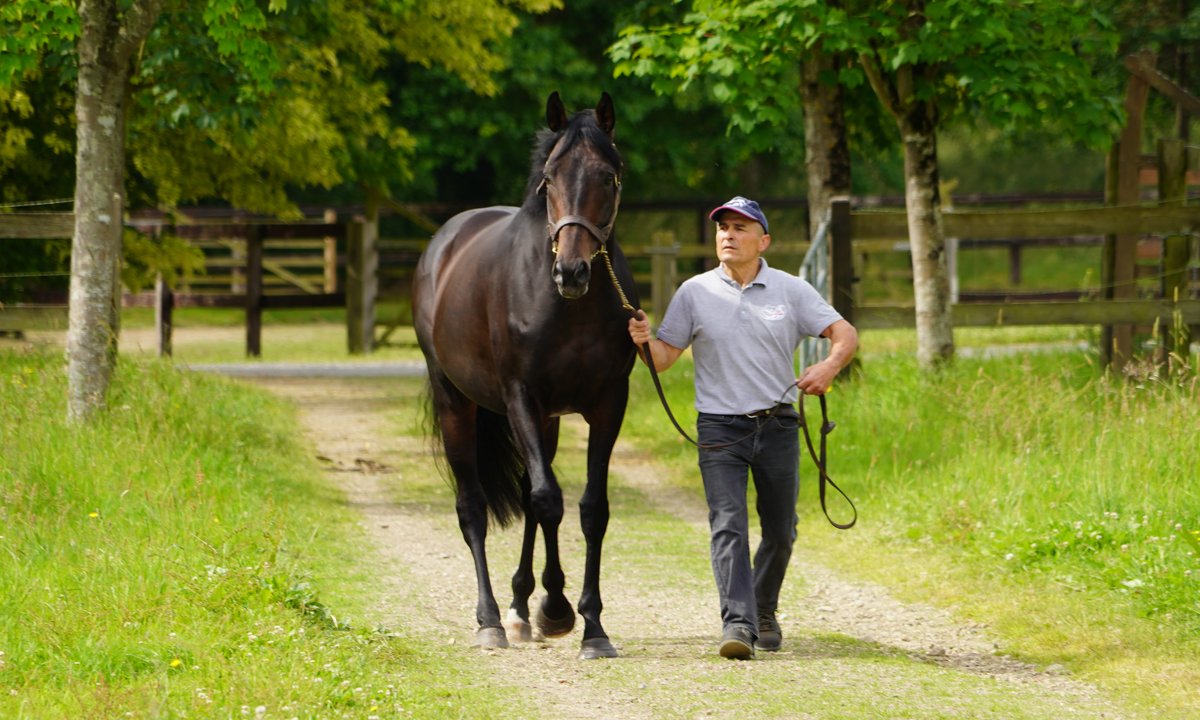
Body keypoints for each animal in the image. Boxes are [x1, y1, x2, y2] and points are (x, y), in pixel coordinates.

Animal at [412, 92, 638, 659]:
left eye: (609, 177)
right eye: (549, 179)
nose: (572, 273)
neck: (566, 308)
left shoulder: (608, 403)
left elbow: (589, 508)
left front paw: (589, 625)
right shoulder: (521, 398)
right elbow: (546, 499)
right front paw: (556, 608)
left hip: (548, 419)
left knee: (530, 494)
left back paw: (518, 606)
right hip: (458, 402)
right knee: (473, 506)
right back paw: (492, 619)